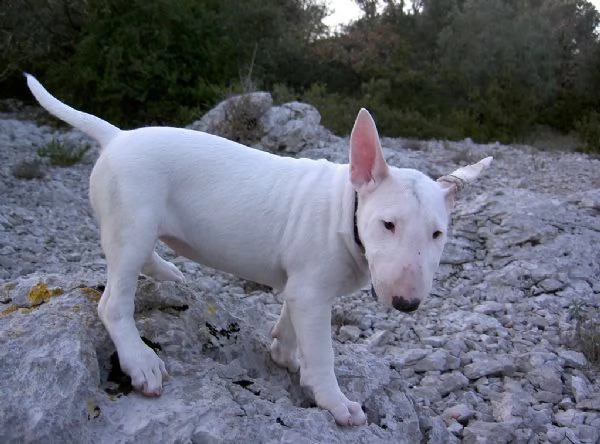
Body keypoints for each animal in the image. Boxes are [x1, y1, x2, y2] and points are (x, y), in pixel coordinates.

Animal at [25, 73, 490, 426]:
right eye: (388, 224)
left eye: (438, 234)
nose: (406, 304)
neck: (346, 211)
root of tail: (117, 136)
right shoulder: (312, 293)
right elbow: (323, 353)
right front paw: (336, 403)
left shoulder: (301, 287)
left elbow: (289, 325)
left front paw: (285, 357)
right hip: (133, 218)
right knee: (113, 301)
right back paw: (141, 361)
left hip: (136, 225)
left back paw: (167, 273)